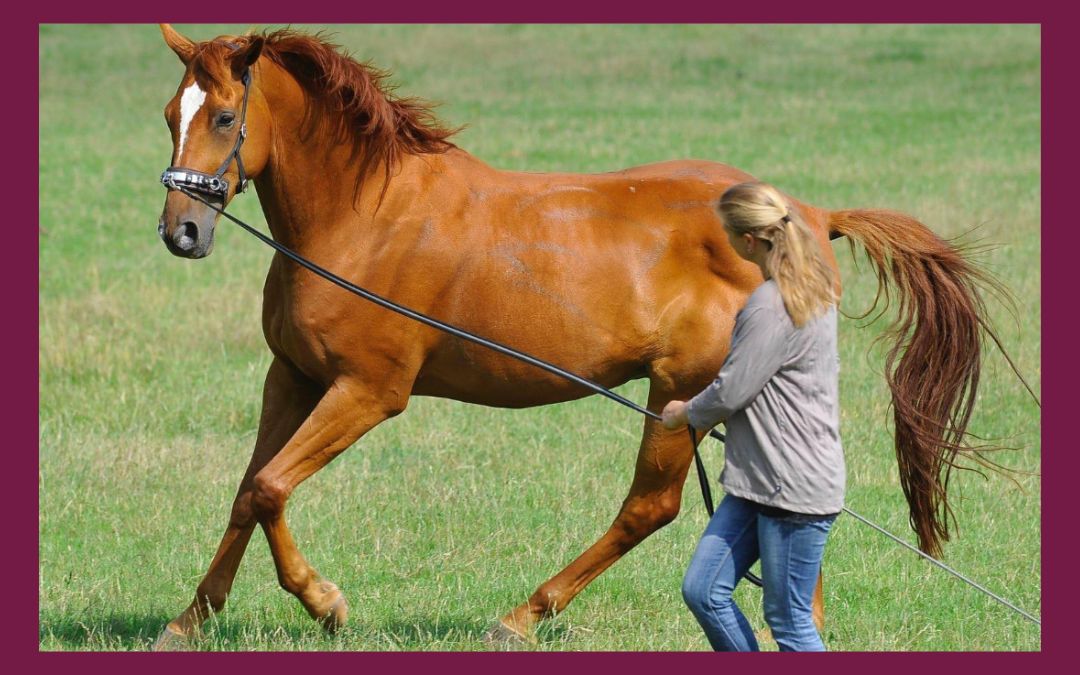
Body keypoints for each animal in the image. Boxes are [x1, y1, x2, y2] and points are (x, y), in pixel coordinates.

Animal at [152, 25, 1027, 649]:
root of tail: (809, 215)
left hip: (680, 394)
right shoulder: (293, 376)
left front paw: (327, 603)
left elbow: (272, 487)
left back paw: (523, 614)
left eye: (224, 116)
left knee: (652, 506)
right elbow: (249, 489)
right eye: (170, 116)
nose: (181, 232)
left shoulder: (369, 390)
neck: (365, 219)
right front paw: (192, 618)